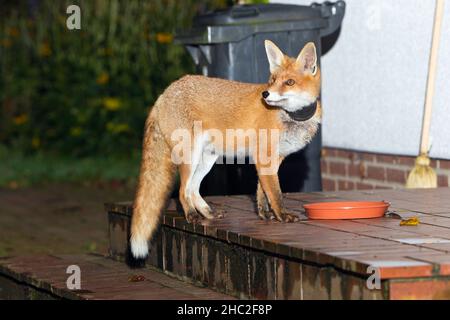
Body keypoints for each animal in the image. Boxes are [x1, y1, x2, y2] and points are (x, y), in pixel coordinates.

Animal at [128, 40, 322, 260]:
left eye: (289, 82)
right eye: (272, 80)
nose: (265, 94)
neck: (289, 117)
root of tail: (164, 93)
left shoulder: (273, 159)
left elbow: (262, 192)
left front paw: (264, 215)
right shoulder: (264, 157)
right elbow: (275, 193)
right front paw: (282, 215)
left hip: (207, 159)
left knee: (193, 189)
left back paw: (208, 213)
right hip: (190, 156)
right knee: (182, 191)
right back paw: (192, 215)